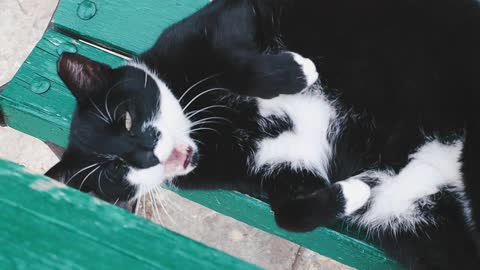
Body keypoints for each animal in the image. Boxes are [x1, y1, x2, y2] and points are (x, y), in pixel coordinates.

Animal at [47, 0, 480, 268]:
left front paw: (298, 72)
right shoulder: (276, 173)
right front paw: (356, 191)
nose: (146, 155)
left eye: (125, 119)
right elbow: (288, 214)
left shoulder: (215, 24)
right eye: (112, 172)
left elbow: (232, 57)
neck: (216, 126)